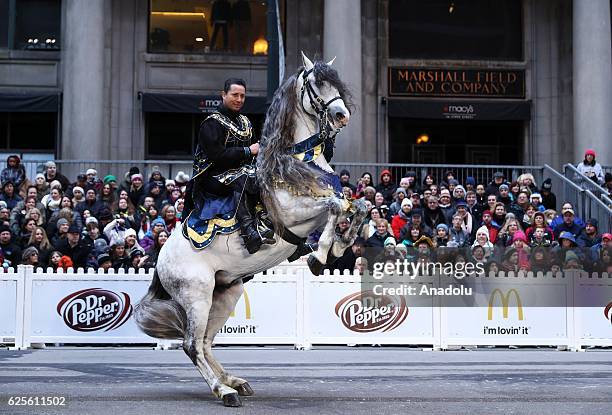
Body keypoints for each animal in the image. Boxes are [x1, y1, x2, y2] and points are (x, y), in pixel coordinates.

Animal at [134, 52, 366, 410]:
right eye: (316, 85)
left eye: (337, 84)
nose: (342, 115)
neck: (295, 162)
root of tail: (160, 263)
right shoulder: (294, 215)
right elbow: (335, 207)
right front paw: (321, 255)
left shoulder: (330, 202)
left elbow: (358, 207)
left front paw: (339, 246)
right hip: (196, 295)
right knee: (191, 344)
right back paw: (223, 390)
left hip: (225, 294)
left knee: (206, 342)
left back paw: (233, 381)